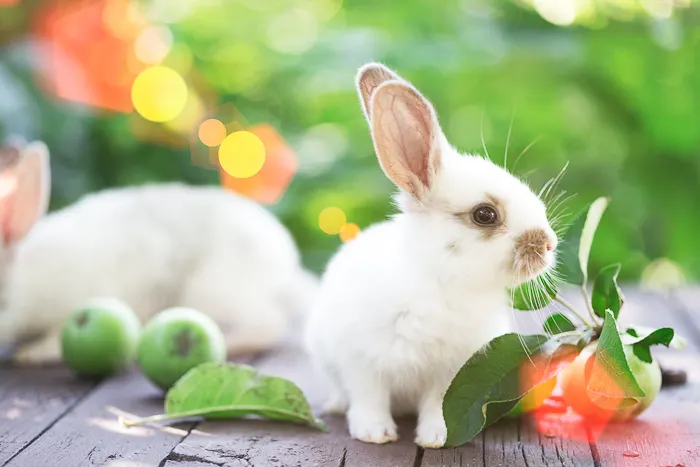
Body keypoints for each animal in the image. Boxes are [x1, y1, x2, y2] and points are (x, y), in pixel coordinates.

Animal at [0, 139, 318, 366]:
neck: (24, 281)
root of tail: (287, 269)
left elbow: (56, 336)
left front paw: (32, 354)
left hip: (211, 292)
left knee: (269, 325)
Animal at [304, 65, 560, 450]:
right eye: (485, 215)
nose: (548, 244)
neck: (441, 282)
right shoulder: (360, 361)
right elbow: (369, 397)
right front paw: (374, 434)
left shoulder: (451, 371)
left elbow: (437, 403)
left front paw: (436, 438)